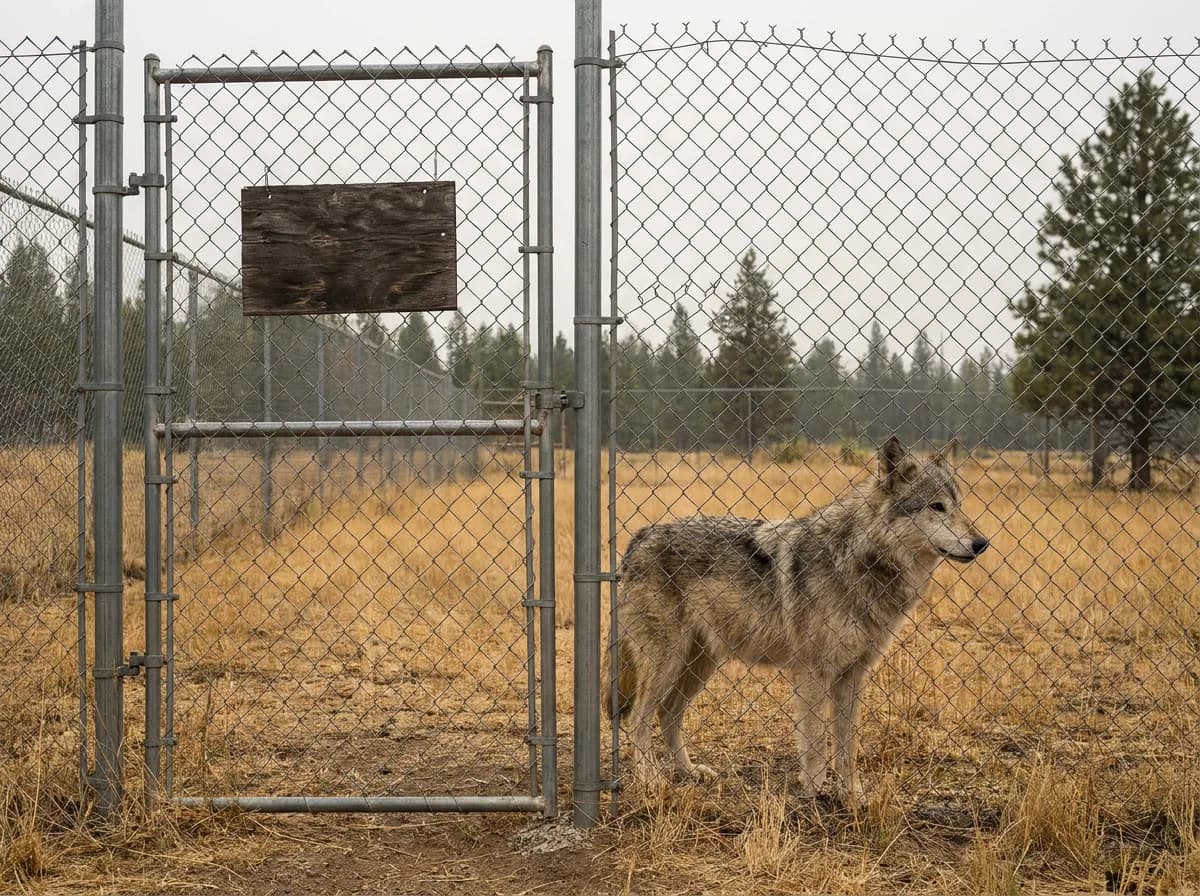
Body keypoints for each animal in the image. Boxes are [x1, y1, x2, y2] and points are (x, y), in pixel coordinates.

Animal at [603, 437, 988, 799]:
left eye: (959, 506)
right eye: (937, 507)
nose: (981, 542)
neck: (860, 560)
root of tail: (641, 536)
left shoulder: (853, 674)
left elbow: (848, 747)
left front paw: (853, 796)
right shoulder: (814, 673)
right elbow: (816, 744)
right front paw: (814, 796)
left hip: (699, 663)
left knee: (668, 714)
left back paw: (689, 773)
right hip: (667, 663)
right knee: (638, 720)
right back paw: (651, 780)